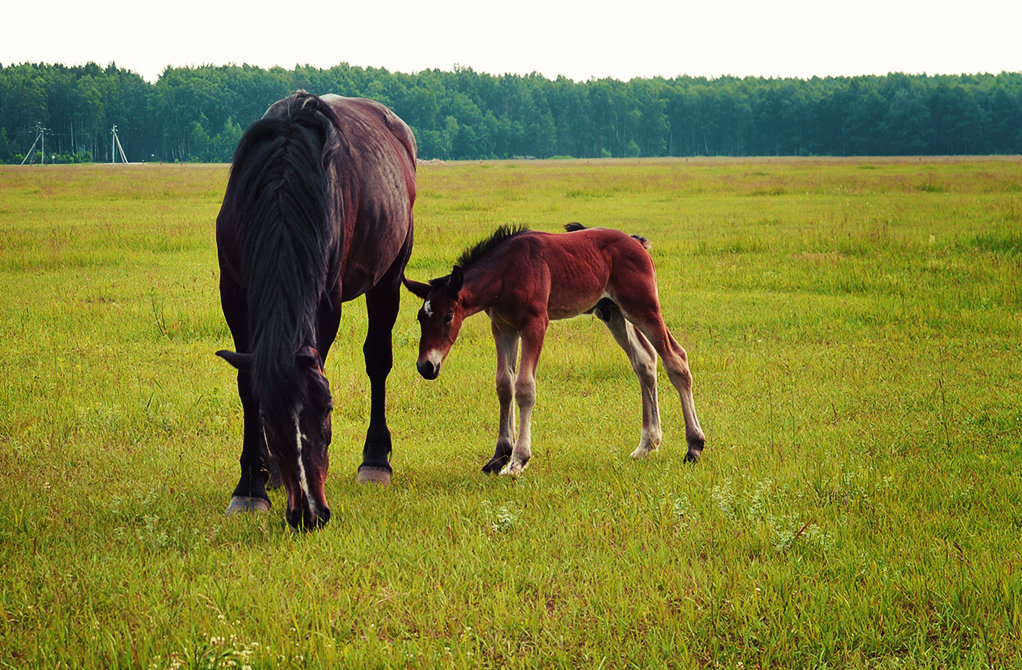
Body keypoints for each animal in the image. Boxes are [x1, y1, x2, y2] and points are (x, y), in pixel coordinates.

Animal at [216, 91, 419, 527]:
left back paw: (375, 460)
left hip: (390, 274)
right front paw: (252, 485)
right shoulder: (233, 292)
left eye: (327, 409)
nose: (310, 512)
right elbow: (247, 383)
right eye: (270, 419)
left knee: (378, 358)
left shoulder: (326, 299)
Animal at [402, 224, 707, 475]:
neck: (507, 271)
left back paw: (694, 446)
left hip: (643, 307)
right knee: (645, 362)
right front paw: (499, 455)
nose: (426, 366)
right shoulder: (503, 327)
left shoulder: (535, 324)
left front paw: (518, 460)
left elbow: (525, 387)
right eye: (420, 317)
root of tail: (637, 242)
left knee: (676, 359)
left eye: (448, 316)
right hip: (614, 313)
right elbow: (504, 385)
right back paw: (646, 445)